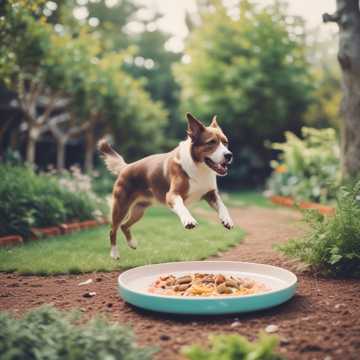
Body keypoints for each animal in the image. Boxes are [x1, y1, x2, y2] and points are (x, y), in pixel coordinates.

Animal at [97, 112, 233, 258]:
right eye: (211, 142)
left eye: (226, 142)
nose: (229, 155)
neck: (199, 167)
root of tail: (126, 167)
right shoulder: (172, 194)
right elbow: (181, 206)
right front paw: (188, 220)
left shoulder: (211, 193)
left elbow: (222, 205)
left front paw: (227, 219)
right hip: (121, 206)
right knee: (113, 229)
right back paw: (114, 253)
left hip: (139, 210)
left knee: (124, 226)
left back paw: (132, 243)